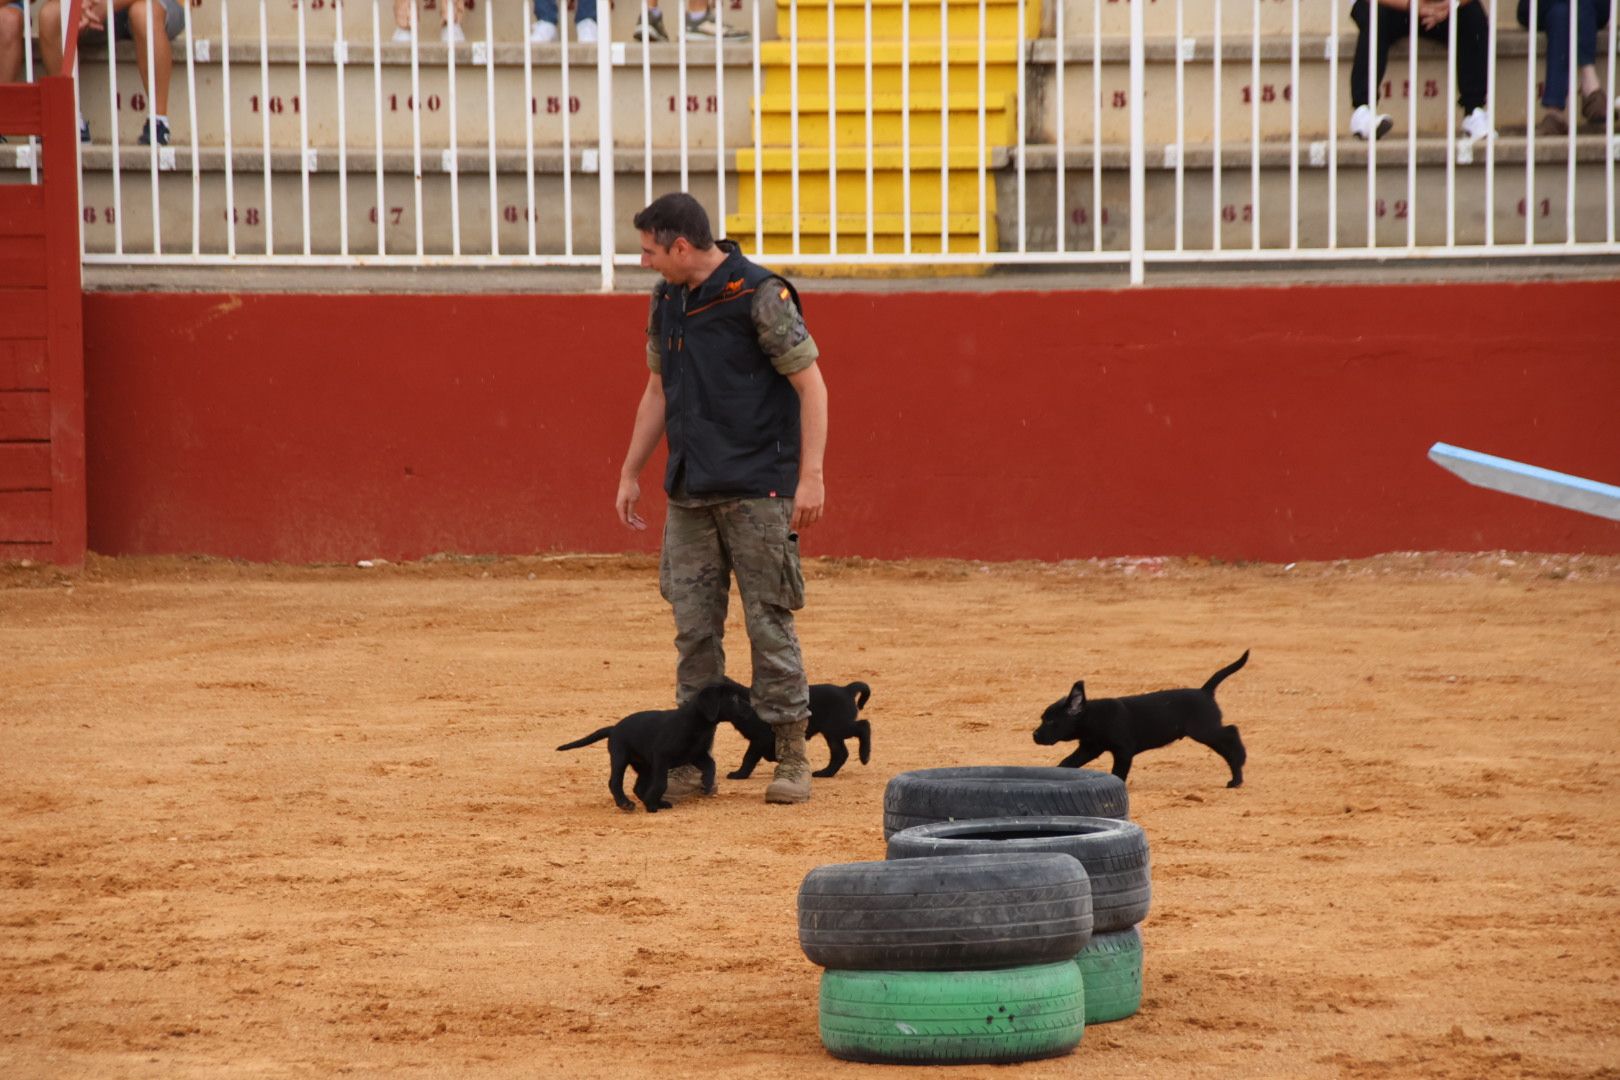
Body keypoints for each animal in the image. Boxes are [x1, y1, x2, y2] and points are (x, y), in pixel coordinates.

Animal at [557, 683, 751, 809]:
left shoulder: (697, 755)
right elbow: (661, 783)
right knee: (614, 783)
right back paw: (625, 803)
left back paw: (651, 801)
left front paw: (707, 783)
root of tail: (613, 728)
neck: (696, 724)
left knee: (637, 787)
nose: (751, 708)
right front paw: (651, 804)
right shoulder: (661, 758)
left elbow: (711, 765)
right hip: (620, 758)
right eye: (734, 698)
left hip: (644, 766)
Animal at [722, 676, 874, 777]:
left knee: (864, 726)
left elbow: (749, 757)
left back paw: (864, 756)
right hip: (833, 734)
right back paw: (825, 773)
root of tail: (846, 690)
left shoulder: (759, 739)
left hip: (838, 728)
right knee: (840, 754)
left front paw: (739, 774)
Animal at [1036, 650, 1250, 786]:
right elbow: (1067, 763)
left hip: (1205, 731)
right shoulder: (1089, 748)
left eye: (1051, 721)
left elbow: (1118, 774)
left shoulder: (1123, 752)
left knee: (1232, 732)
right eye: (1042, 719)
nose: (1034, 736)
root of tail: (1204, 691)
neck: (1094, 716)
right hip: (1206, 732)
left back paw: (1238, 771)